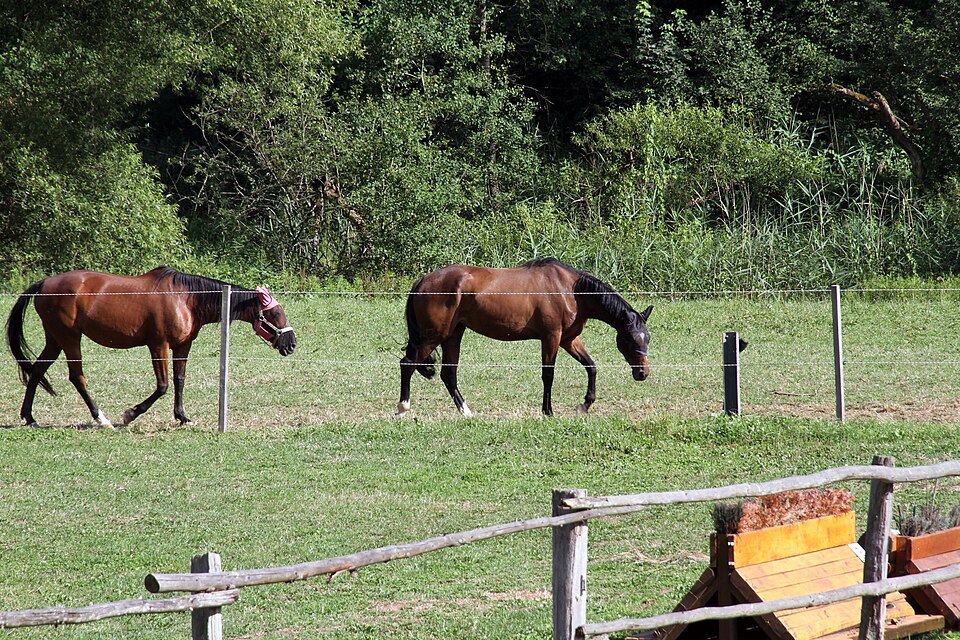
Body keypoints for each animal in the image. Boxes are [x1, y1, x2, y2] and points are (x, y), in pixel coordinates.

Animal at [6, 266, 296, 428]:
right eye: (274, 314)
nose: (291, 343)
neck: (186, 298)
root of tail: (44, 284)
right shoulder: (159, 345)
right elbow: (163, 385)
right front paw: (131, 413)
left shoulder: (182, 346)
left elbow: (179, 380)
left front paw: (182, 417)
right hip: (69, 339)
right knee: (77, 377)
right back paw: (102, 418)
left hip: (55, 339)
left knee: (37, 371)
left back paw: (29, 417)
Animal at [397, 258, 652, 417]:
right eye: (630, 339)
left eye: (647, 338)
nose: (642, 373)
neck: (571, 290)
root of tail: (423, 280)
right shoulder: (551, 337)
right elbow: (548, 375)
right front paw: (548, 411)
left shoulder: (568, 339)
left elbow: (591, 366)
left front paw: (585, 405)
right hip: (433, 336)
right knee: (407, 364)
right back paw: (402, 408)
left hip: (453, 335)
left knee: (448, 374)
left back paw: (466, 412)